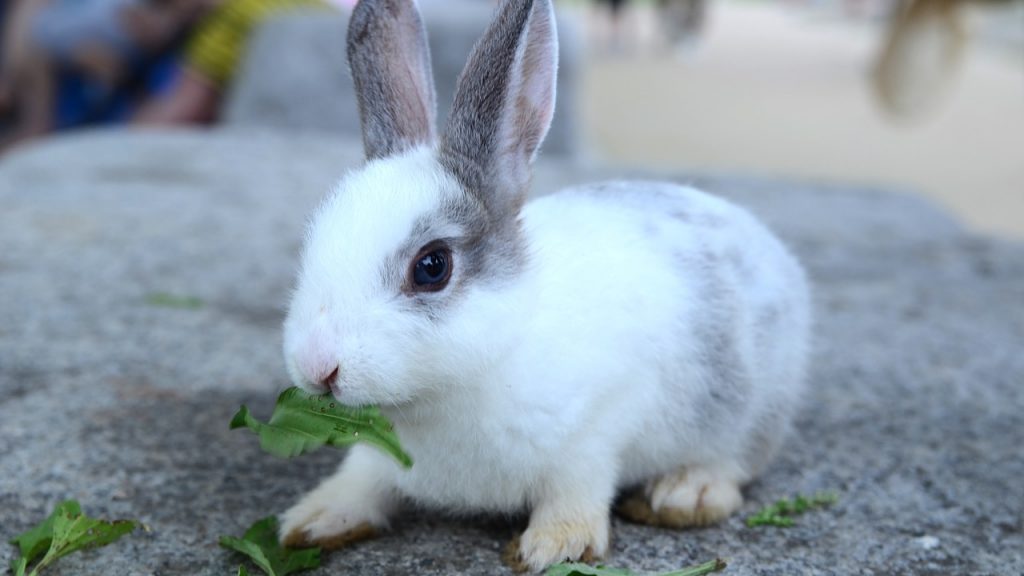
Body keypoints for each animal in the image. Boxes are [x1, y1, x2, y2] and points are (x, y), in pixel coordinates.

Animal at [278, 0, 806, 565]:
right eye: (314, 238)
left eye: (432, 266)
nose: (318, 366)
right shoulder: (379, 455)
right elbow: (361, 480)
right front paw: (311, 521)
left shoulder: (599, 427)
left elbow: (578, 487)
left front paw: (553, 546)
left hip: (750, 407)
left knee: (738, 462)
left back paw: (686, 494)